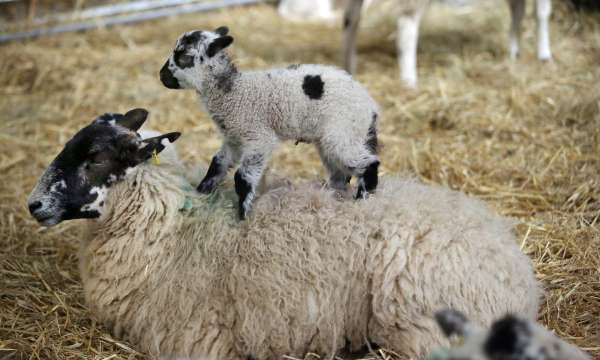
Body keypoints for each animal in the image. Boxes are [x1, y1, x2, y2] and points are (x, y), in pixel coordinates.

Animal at [28, 109, 540, 360]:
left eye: (95, 158)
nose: (33, 205)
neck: (172, 230)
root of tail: (517, 272)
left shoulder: (197, 343)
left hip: (422, 327)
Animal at [159, 26, 380, 219]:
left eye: (184, 57)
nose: (161, 77)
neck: (234, 92)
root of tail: (371, 106)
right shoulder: (234, 139)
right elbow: (217, 165)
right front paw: (202, 192)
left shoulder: (258, 137)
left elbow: (242, 177)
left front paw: (243, 215)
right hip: (336, 138)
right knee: (340, 174)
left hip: (343, 132)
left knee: (368, 164)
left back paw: (362, 201)